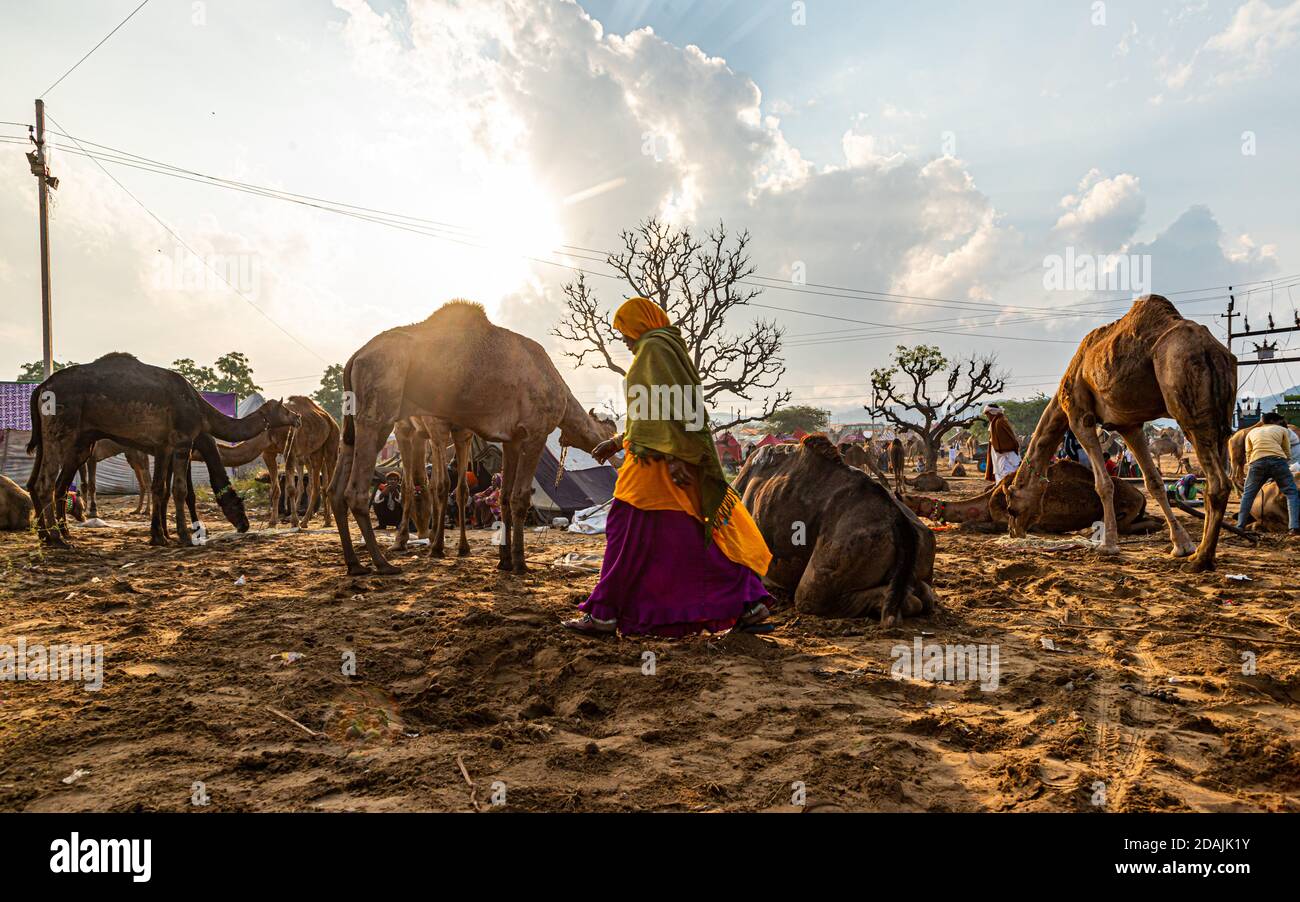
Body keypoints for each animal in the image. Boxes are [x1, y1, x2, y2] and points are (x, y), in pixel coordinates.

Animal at [27, 356, 297, 548]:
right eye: (239, 503)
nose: (245, 524)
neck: (201, 411)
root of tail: (41, 388)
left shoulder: (162, 447)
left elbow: (161, 489)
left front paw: (160, 536)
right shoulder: (183, 443)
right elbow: (180, 491)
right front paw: (185, 536)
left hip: (66, 440)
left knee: (44, 483)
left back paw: (51, 535)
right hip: (61, 431)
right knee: (46, 483)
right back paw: (57, 539)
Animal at [327, 300, 616, 577]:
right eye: (609, 432)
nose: (610, 452)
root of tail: (356, 357)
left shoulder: (511, 439)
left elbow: (504, 496)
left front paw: (504, 561)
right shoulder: (536, 432)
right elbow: (520, 497)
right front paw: (520, 563)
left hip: (353, 423)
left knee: (335, 488)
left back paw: (355, 563)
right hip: (380, 413)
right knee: (356, 491)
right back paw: (383, 562)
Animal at [904, 462, 1159, 532]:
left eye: (909, 499)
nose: (898, 494)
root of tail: (1140, 494)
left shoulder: (1005, 518)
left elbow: (969, 524)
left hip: (1127, 504)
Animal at [998, 300, 1232, 577]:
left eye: (1011, 506)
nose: (1013, 531)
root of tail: (1210, 349)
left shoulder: (1080, 416)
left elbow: (1103, 483)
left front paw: (1108, 545)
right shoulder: (1129, 425)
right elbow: (1153, 482)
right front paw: (1181, 545)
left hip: (1187, 401)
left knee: (1217, 482)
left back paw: (1201, 560)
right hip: (1223, 412)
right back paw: (1202, 553)